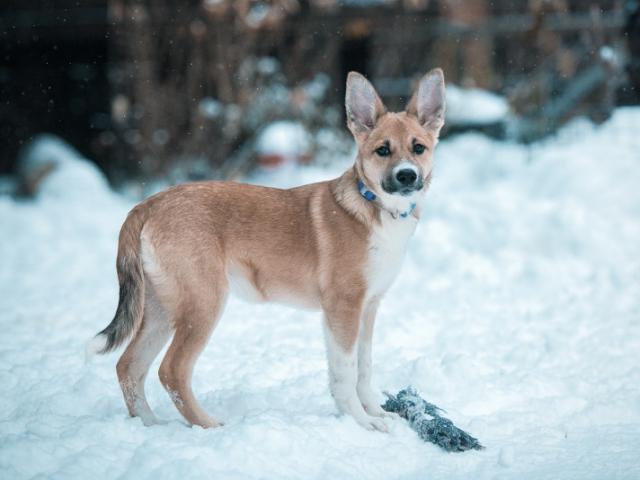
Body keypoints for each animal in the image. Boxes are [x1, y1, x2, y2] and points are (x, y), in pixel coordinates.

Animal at [89, 69, 444, 434]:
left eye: (418, 148)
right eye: (382, 150)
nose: (407, 176)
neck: (376, 208)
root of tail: (148, 204)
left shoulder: (368, 307)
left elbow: (364, 368)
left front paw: (375, 413)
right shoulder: (343, 308)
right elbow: (345, 373)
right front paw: (361, 422)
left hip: (161, 307)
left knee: (128, 365)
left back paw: (150, 426)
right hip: (203, 302)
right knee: (171, 370)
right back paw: (209, 426)